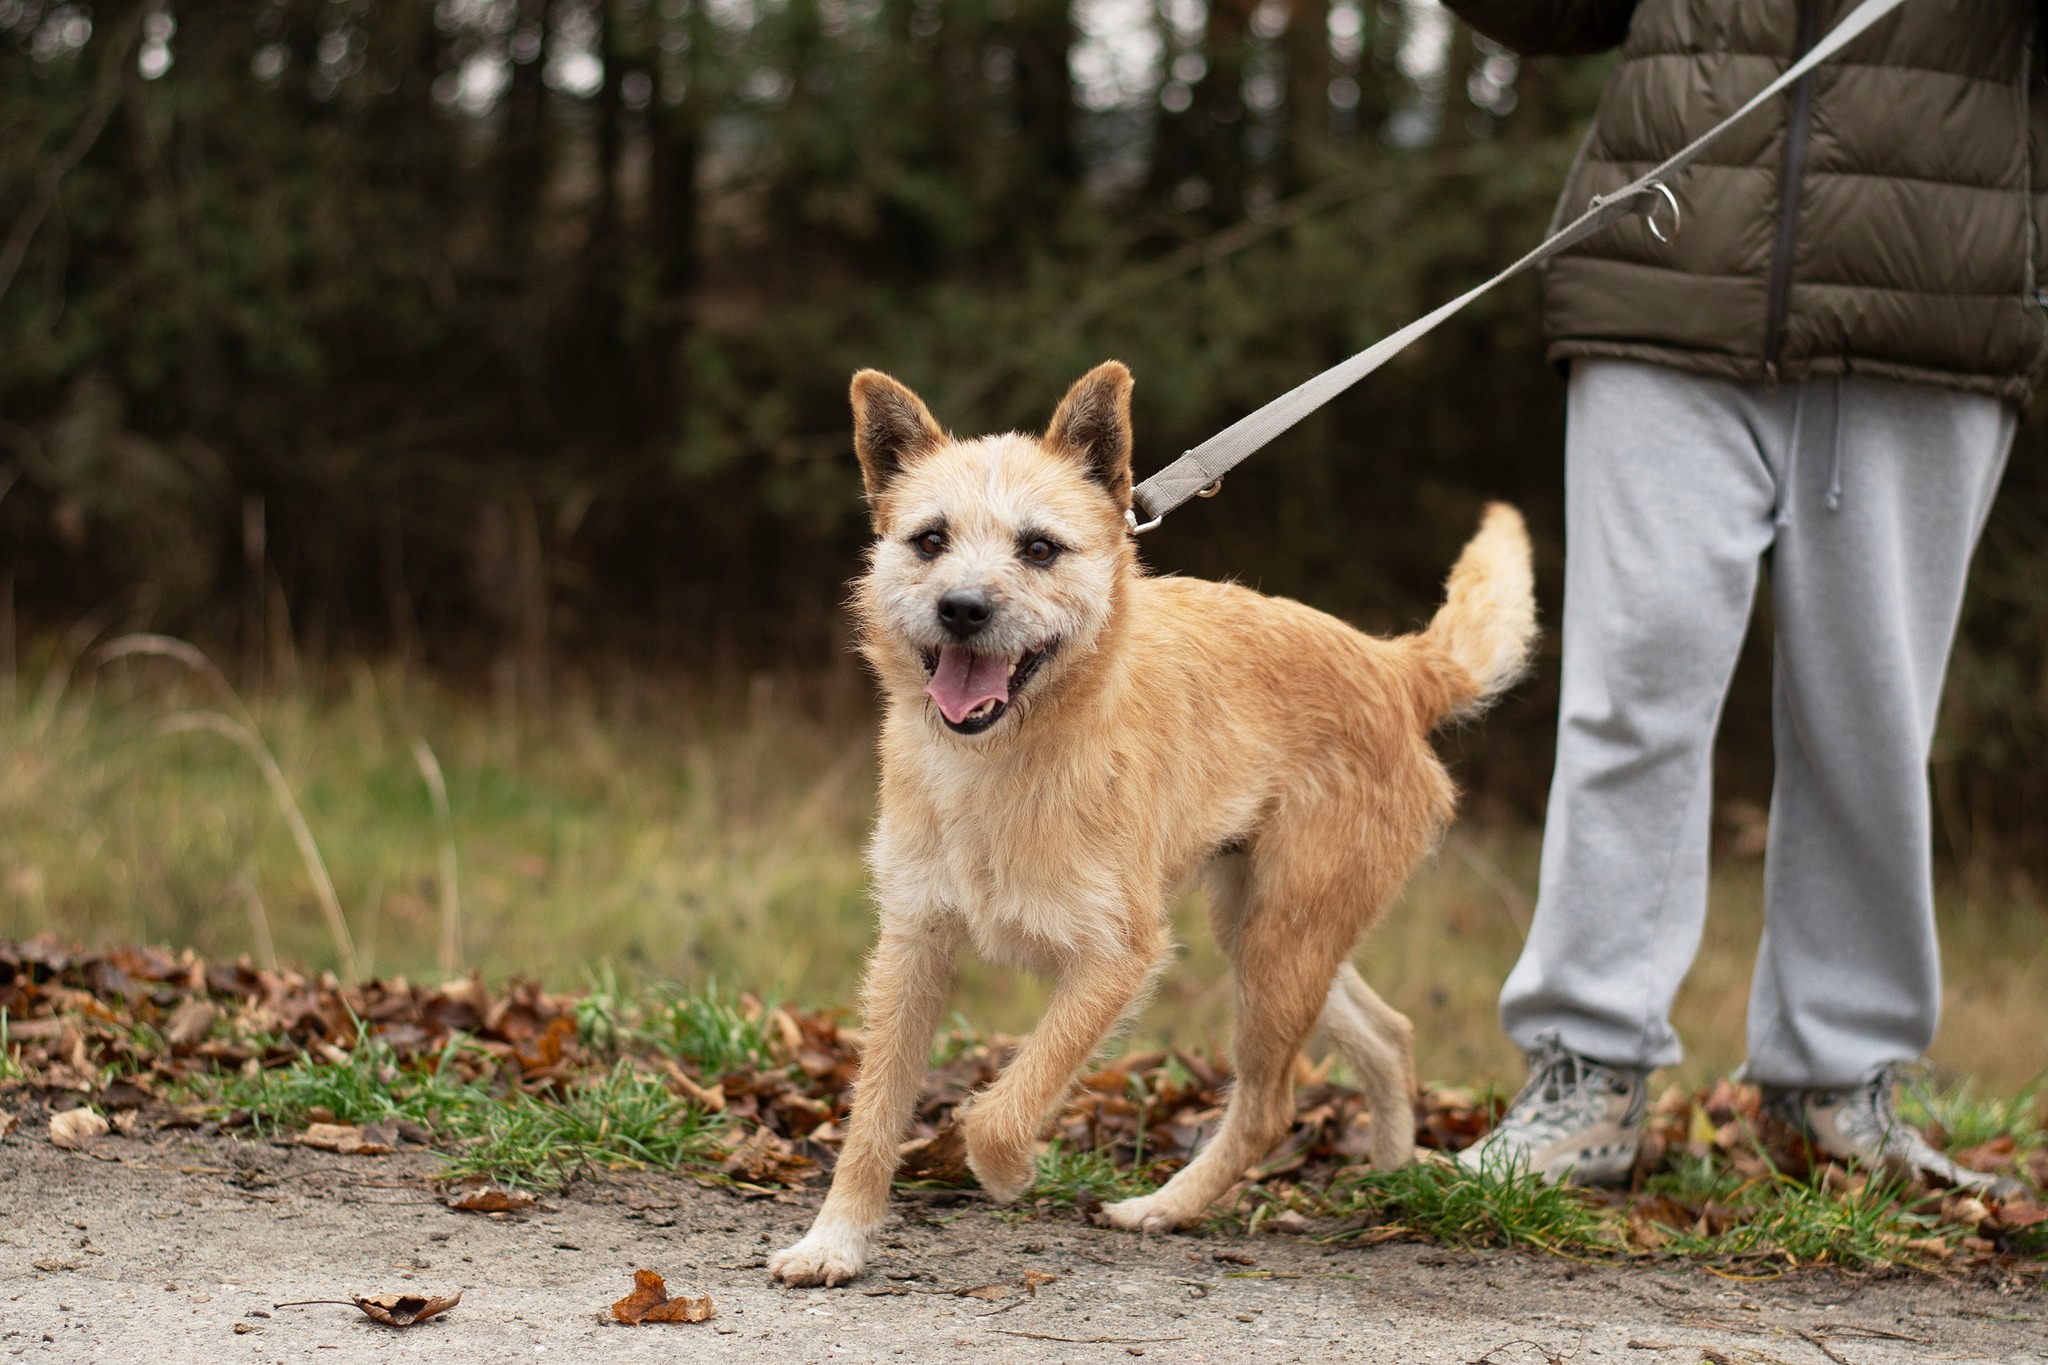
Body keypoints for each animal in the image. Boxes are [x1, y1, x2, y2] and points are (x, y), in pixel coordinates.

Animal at [770, 358, 1540, 1285]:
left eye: (1039, 547)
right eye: (928, 540)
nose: (961, 608)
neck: (1003, 763)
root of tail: (1392, 665)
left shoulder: (1119, 956)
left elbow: (1005, 1104)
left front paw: (1007, 1168)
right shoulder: (913, 945)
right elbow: (873, 1114)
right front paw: (835, 1239)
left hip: (1281, 945)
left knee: (1270, 1105)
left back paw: (1163, 1206)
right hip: (1268, 930)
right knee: (1387, 1035)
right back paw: (1394, 1179)